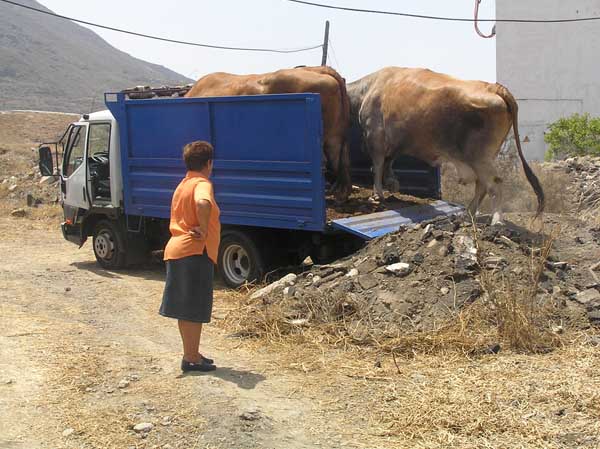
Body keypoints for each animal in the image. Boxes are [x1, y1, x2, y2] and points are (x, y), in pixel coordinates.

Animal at [344, 67, 548, 223]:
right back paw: (468, 213)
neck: (368, 88)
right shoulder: (395, 142)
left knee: (493, 184)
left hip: (479, 156)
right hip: (485, 157)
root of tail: (493, 87)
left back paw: (496, 220)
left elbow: (377, 166)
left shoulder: (375, 137)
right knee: (482, 185)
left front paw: (378, 193)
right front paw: (392, 184)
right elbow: (389, 161)